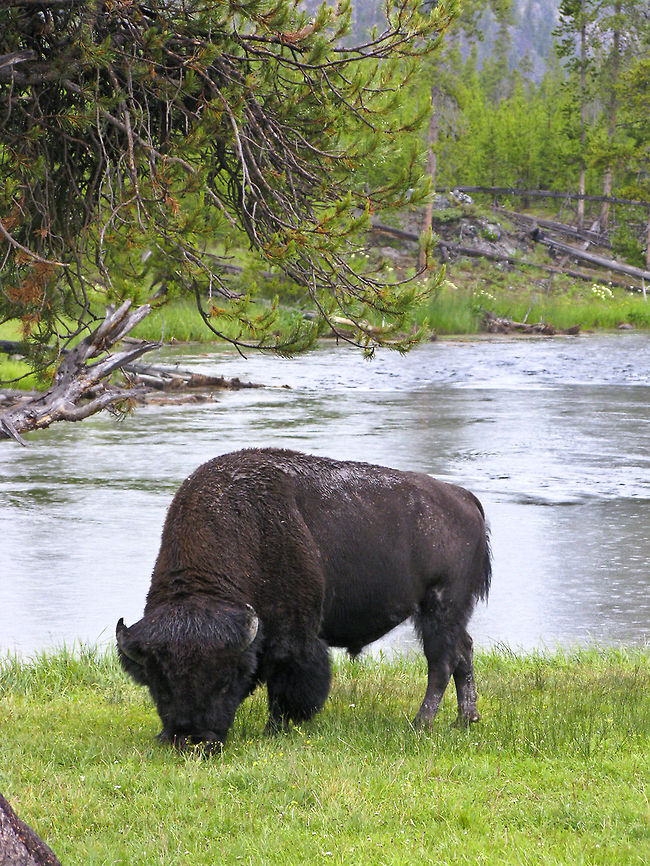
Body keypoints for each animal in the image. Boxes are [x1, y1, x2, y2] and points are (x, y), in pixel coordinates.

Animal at [117, 448, 491, 750]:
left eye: (224, 681)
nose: (194, 740)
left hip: (440, 607)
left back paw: (421, 723)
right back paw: (465, 720)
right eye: (159, 682)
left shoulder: (292, 635)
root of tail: (464, 498)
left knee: (442, 662)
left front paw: (275, 728)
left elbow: (289, 680)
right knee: (464, 651)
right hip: (447, 613)